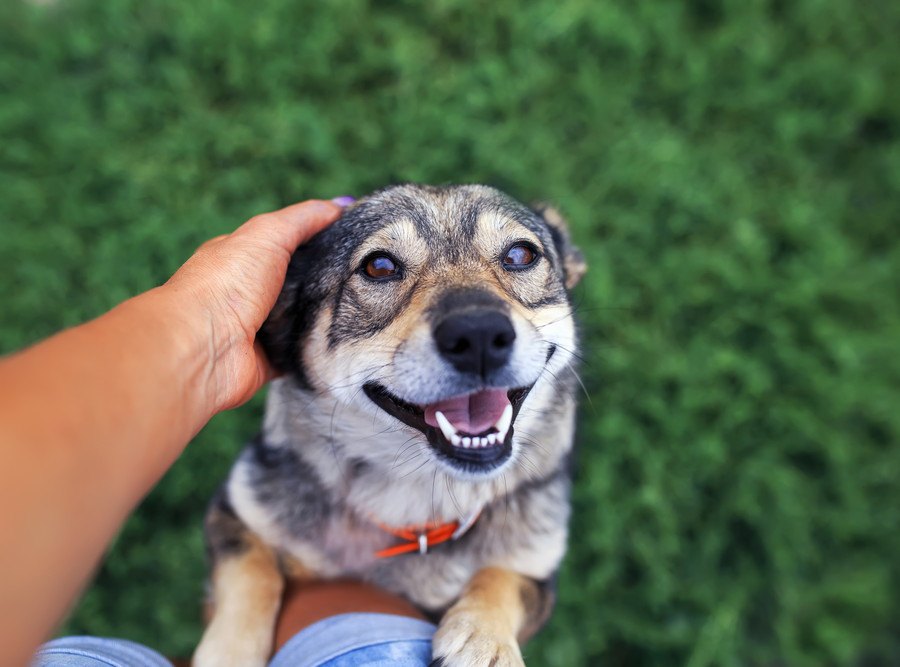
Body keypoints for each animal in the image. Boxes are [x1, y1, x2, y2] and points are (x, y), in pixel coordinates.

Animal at [193, 184, 588, 667]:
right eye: (379, 266)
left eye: (520, 254)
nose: (478, 334)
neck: (415, 492)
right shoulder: (236, 512)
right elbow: (251, 571)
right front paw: (229, 649)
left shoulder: (538, 573)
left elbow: (502, 577)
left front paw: (484, 639)